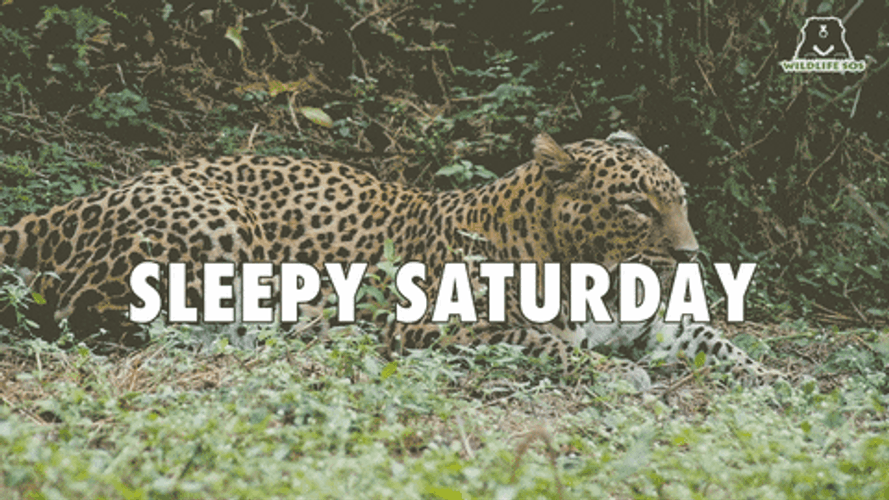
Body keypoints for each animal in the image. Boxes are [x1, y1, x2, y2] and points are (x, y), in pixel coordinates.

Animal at [0, 131, 778, 386]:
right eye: (636, 206)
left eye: (680, 199)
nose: (690, 254)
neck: (604, 280)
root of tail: (71, 204)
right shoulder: (442, 325)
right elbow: (544, 343)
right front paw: (615, 375)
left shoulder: (658, 323)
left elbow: (716, 340)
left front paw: (773, 378)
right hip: (216, 223)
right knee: (98, 320)